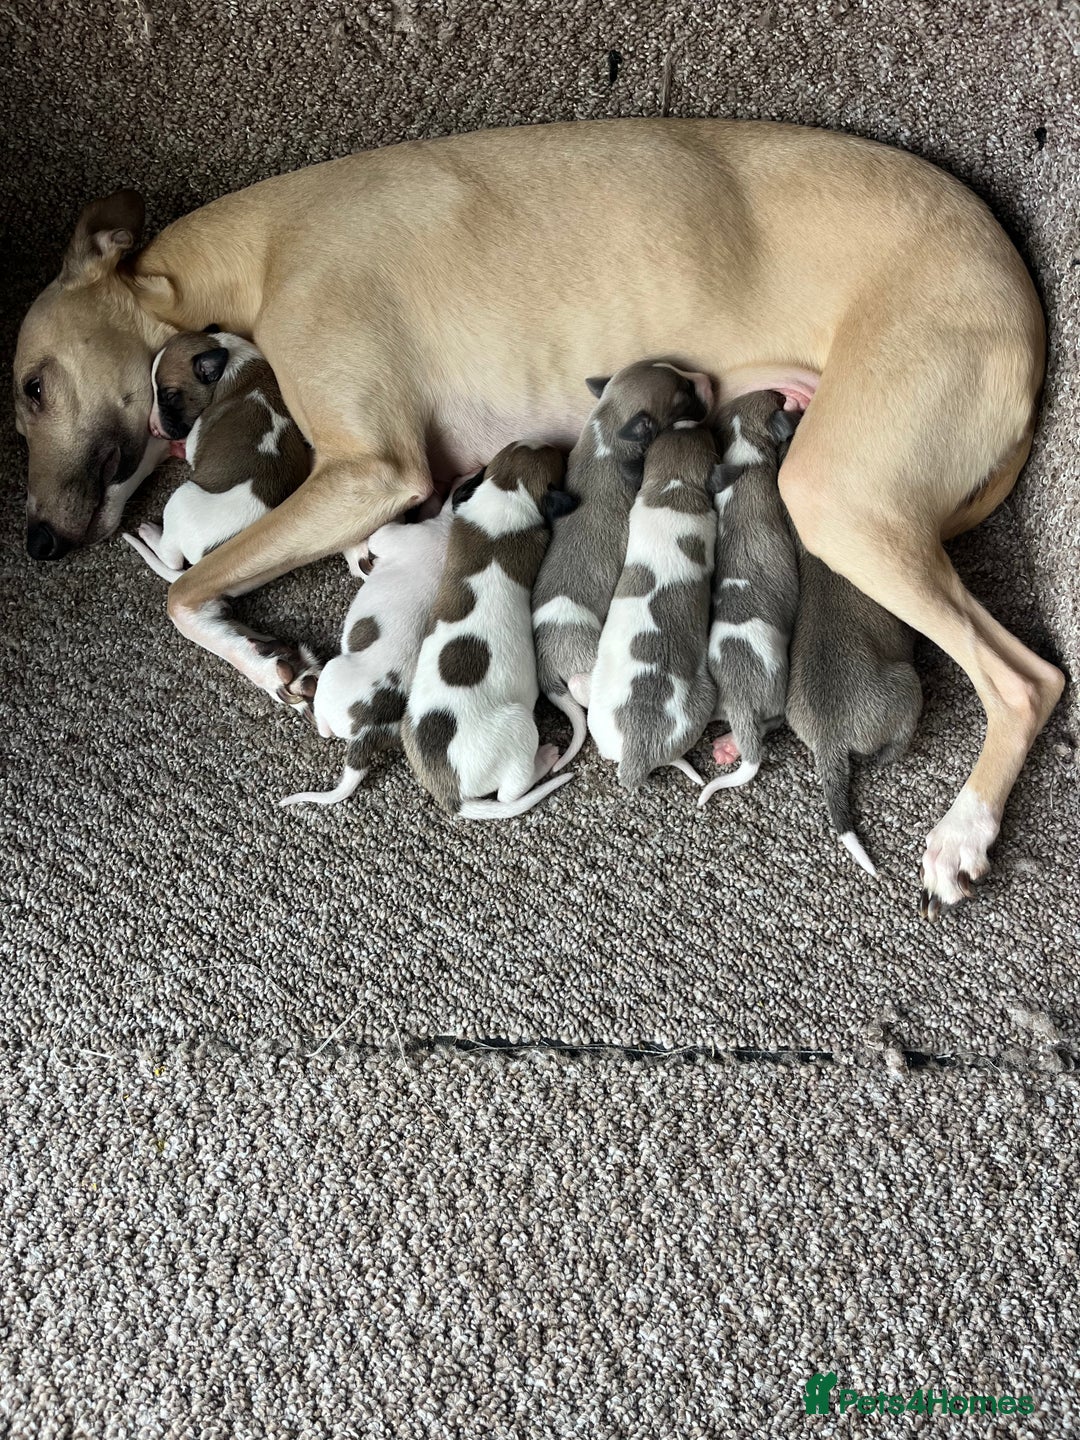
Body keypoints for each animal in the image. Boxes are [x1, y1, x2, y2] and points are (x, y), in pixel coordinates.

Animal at [402, 442, 577, 819]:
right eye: (558, 459)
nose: (559, 445)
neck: (506, 490)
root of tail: (454, 795)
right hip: (519, 727)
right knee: (510, 793)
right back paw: (544, 759)